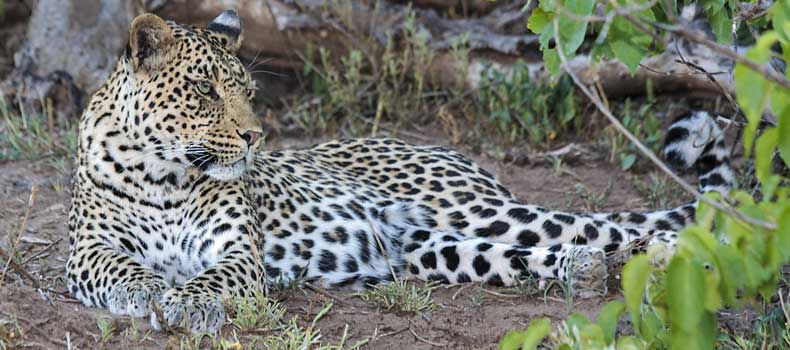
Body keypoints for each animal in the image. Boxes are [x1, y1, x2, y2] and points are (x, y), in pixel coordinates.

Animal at [66, 10, 736, 334]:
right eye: (205, 92)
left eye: (249, 93)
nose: (256, 137)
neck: (163, 175)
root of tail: (453, 154)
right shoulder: (86, 252)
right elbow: (125, 269)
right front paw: (152, 292)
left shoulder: (237, 250)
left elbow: (212, 277)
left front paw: (188, 302)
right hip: (427, 247)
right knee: (535, 254)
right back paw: (591, 268)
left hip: (478, 210)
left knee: (602, 223)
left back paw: (677, 252)